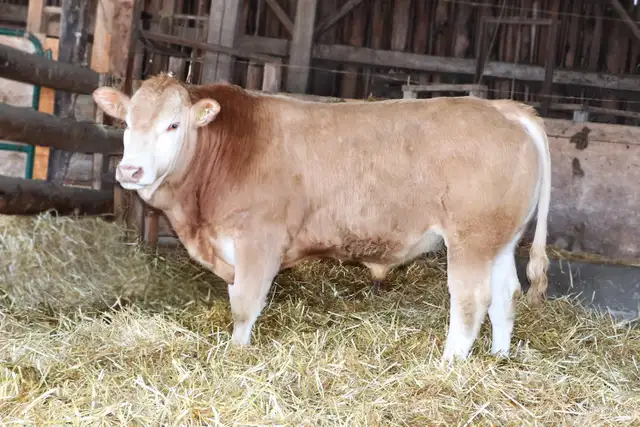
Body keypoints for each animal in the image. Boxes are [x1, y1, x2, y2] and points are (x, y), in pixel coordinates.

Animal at [93, 73, 551, 363]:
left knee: (472, 301)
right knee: (506, 295)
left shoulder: (259, 241)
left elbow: (244, 305)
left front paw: (237, 354)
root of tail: (505, 109)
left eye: (173, 125)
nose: (130, 171)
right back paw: (499, 357)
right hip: (499, 240)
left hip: (470, 240)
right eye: (127, 122)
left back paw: (449, 365)